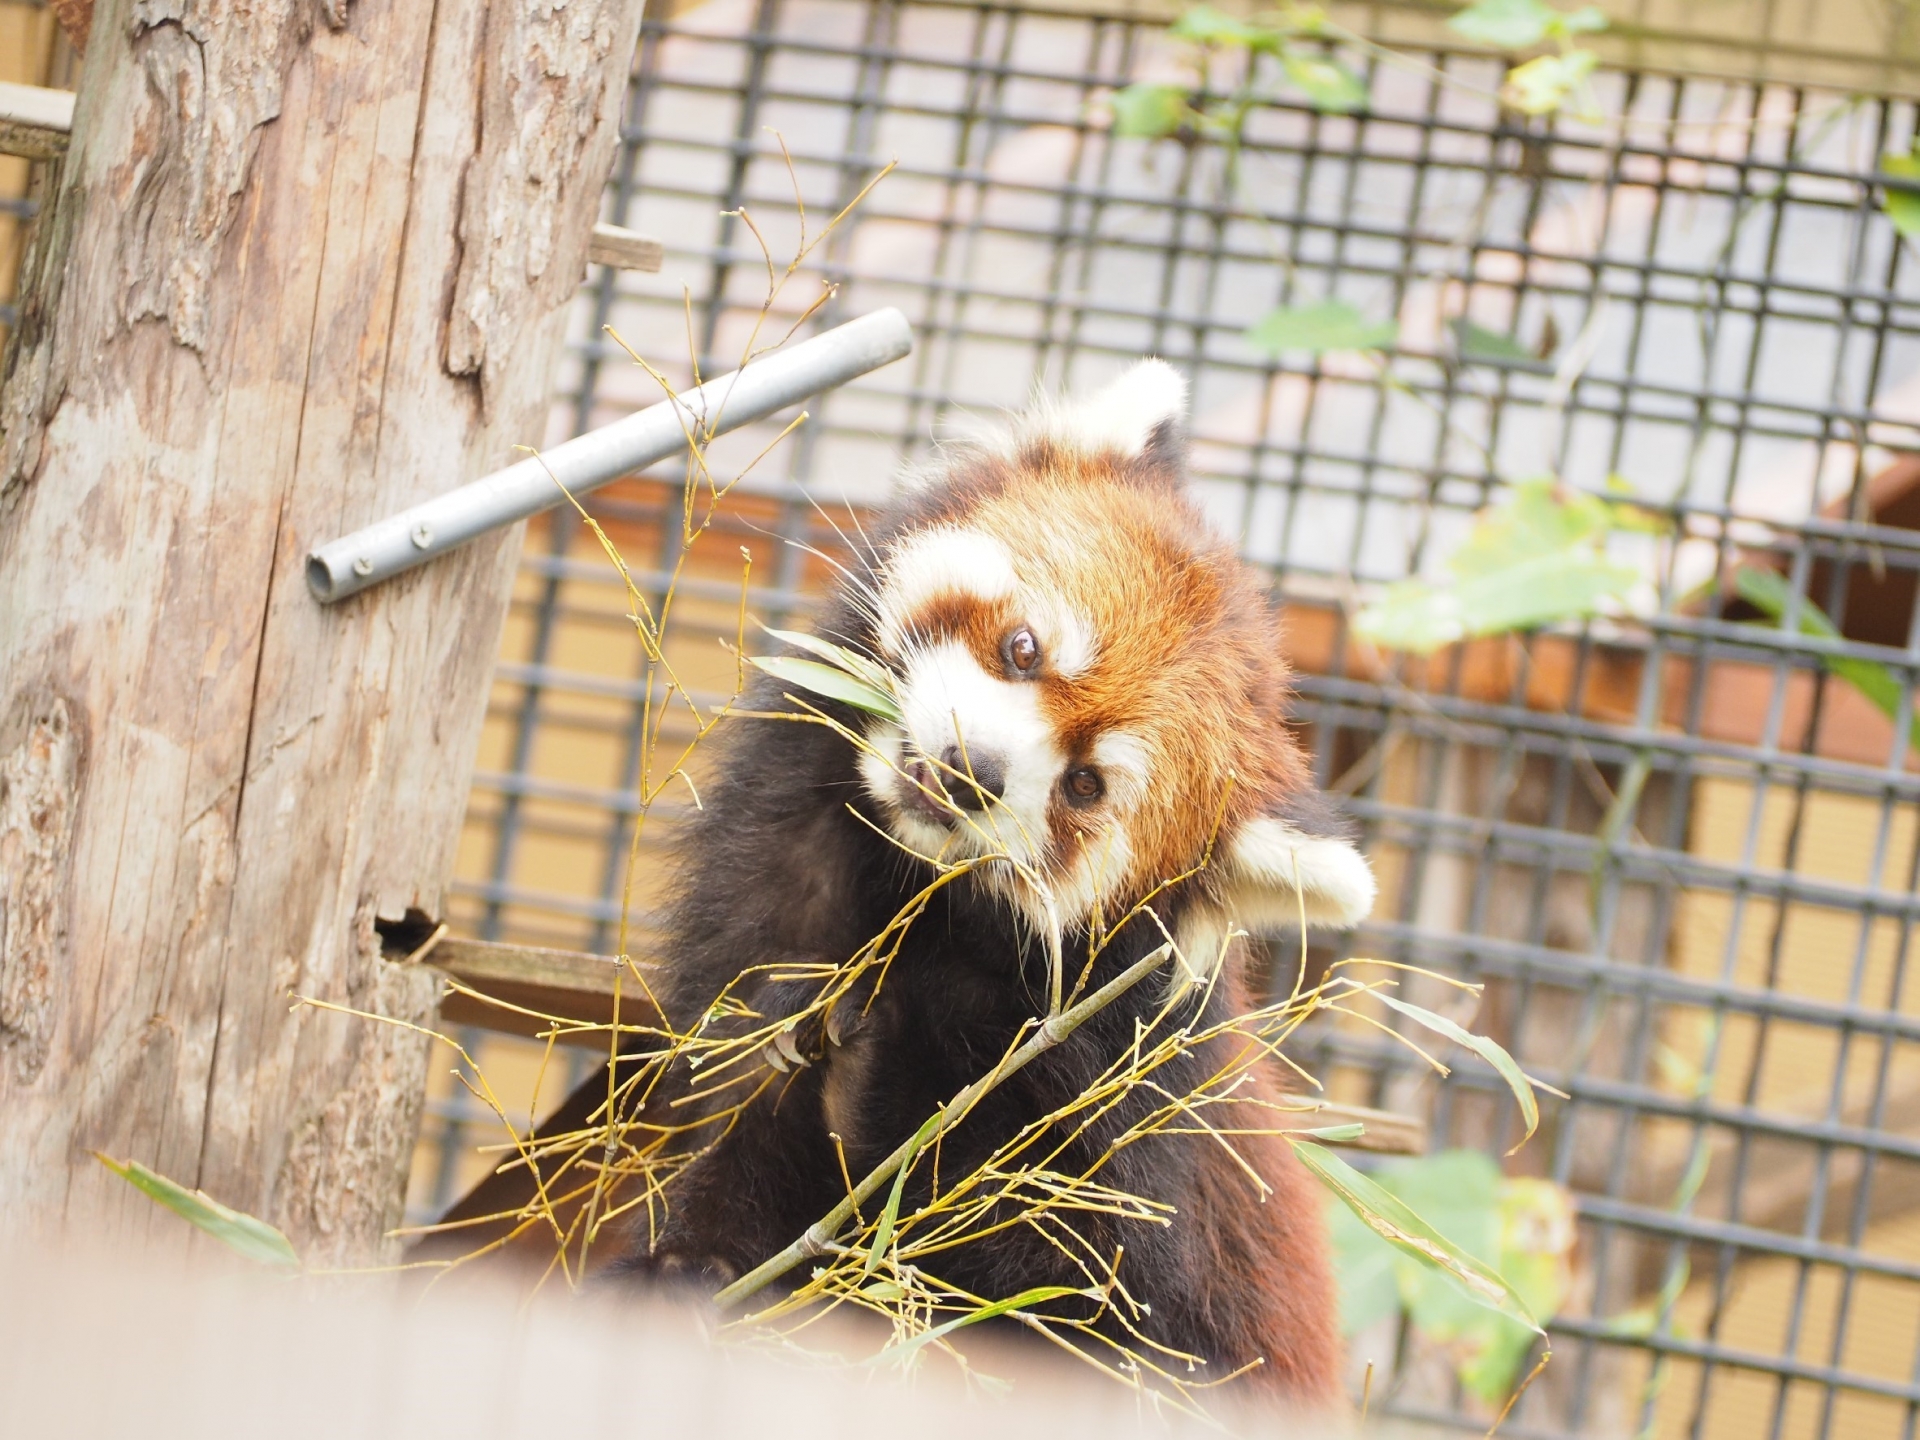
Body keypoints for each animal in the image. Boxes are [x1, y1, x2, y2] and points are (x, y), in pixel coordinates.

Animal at [606, 359, 1374, 1413]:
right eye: (1023, 649)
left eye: (1086, 785)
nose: (975, 770)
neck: (918, 900)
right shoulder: (773, 911)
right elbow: (741, 1100)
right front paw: (684, 1268)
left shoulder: (1107, 1125)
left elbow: (1037, 1285)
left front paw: (876, 1089)